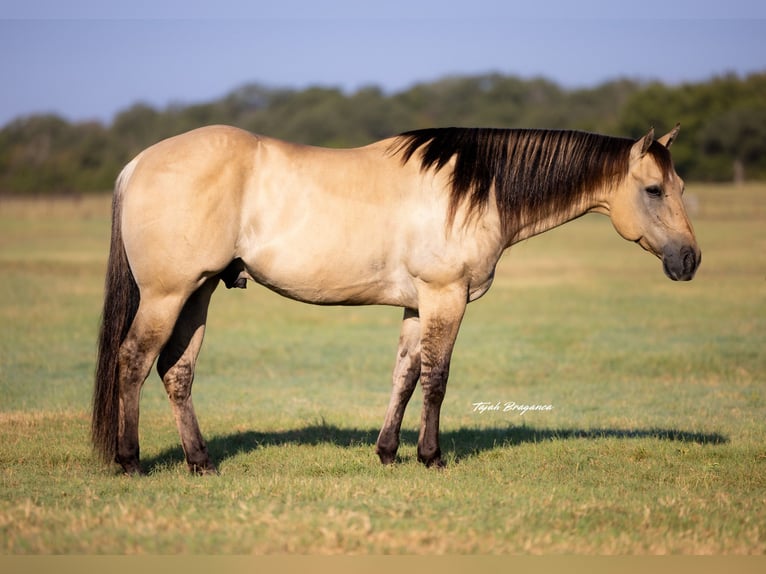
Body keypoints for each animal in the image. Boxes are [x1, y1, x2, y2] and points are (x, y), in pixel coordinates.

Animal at [92, 124, 701, 474]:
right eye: (654, 190)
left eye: (680, 188)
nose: (690, 260)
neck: (473, 190)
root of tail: (136, 164)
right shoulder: (446, 296)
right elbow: (436, 378)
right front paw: (431, 457)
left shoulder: (417, 304)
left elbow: (405, 375)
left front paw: (387, 452)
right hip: (168, 295)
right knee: (134, 361)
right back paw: (130, 461)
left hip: (197, 293)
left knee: (176, 372)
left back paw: (200, 462)